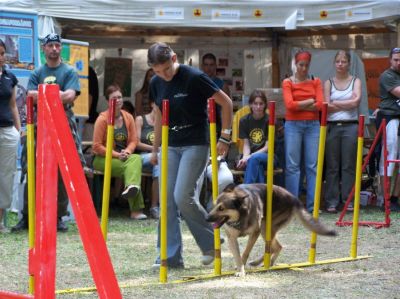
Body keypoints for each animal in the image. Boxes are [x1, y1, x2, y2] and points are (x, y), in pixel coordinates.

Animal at [205, 184, 336, 278]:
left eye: (221, 208)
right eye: (214, 205)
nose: (206, 218)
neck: (241, 214)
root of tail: (294, 198)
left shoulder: (255, 233)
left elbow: (245, 252)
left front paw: (241, 270)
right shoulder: (231, 238)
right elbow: (238, 255)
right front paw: (240, 268)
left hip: (265, 228)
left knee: (274, 247)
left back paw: (261, 263)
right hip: (267, 230)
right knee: (277, 247)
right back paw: (267, 263)